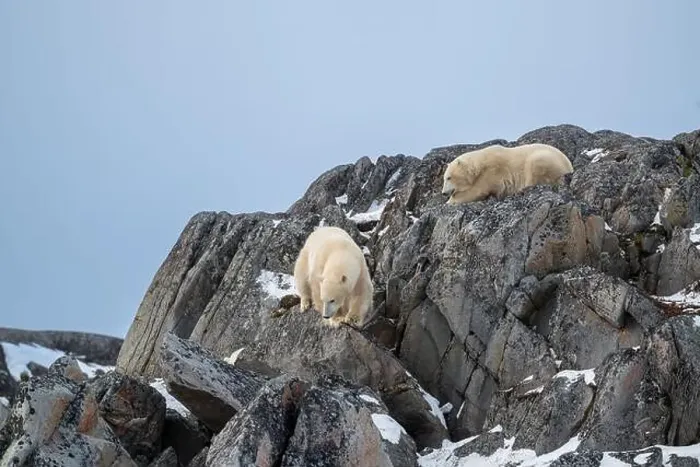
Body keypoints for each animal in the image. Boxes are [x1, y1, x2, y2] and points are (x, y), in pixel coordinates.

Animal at [440, 143, 574, 204]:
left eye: (449, 177)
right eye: (444, 178)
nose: (443, 193)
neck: (480, 163)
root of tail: (569, 166)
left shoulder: (493, 171)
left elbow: (478, 190)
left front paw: (449, 202)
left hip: (545, 159)